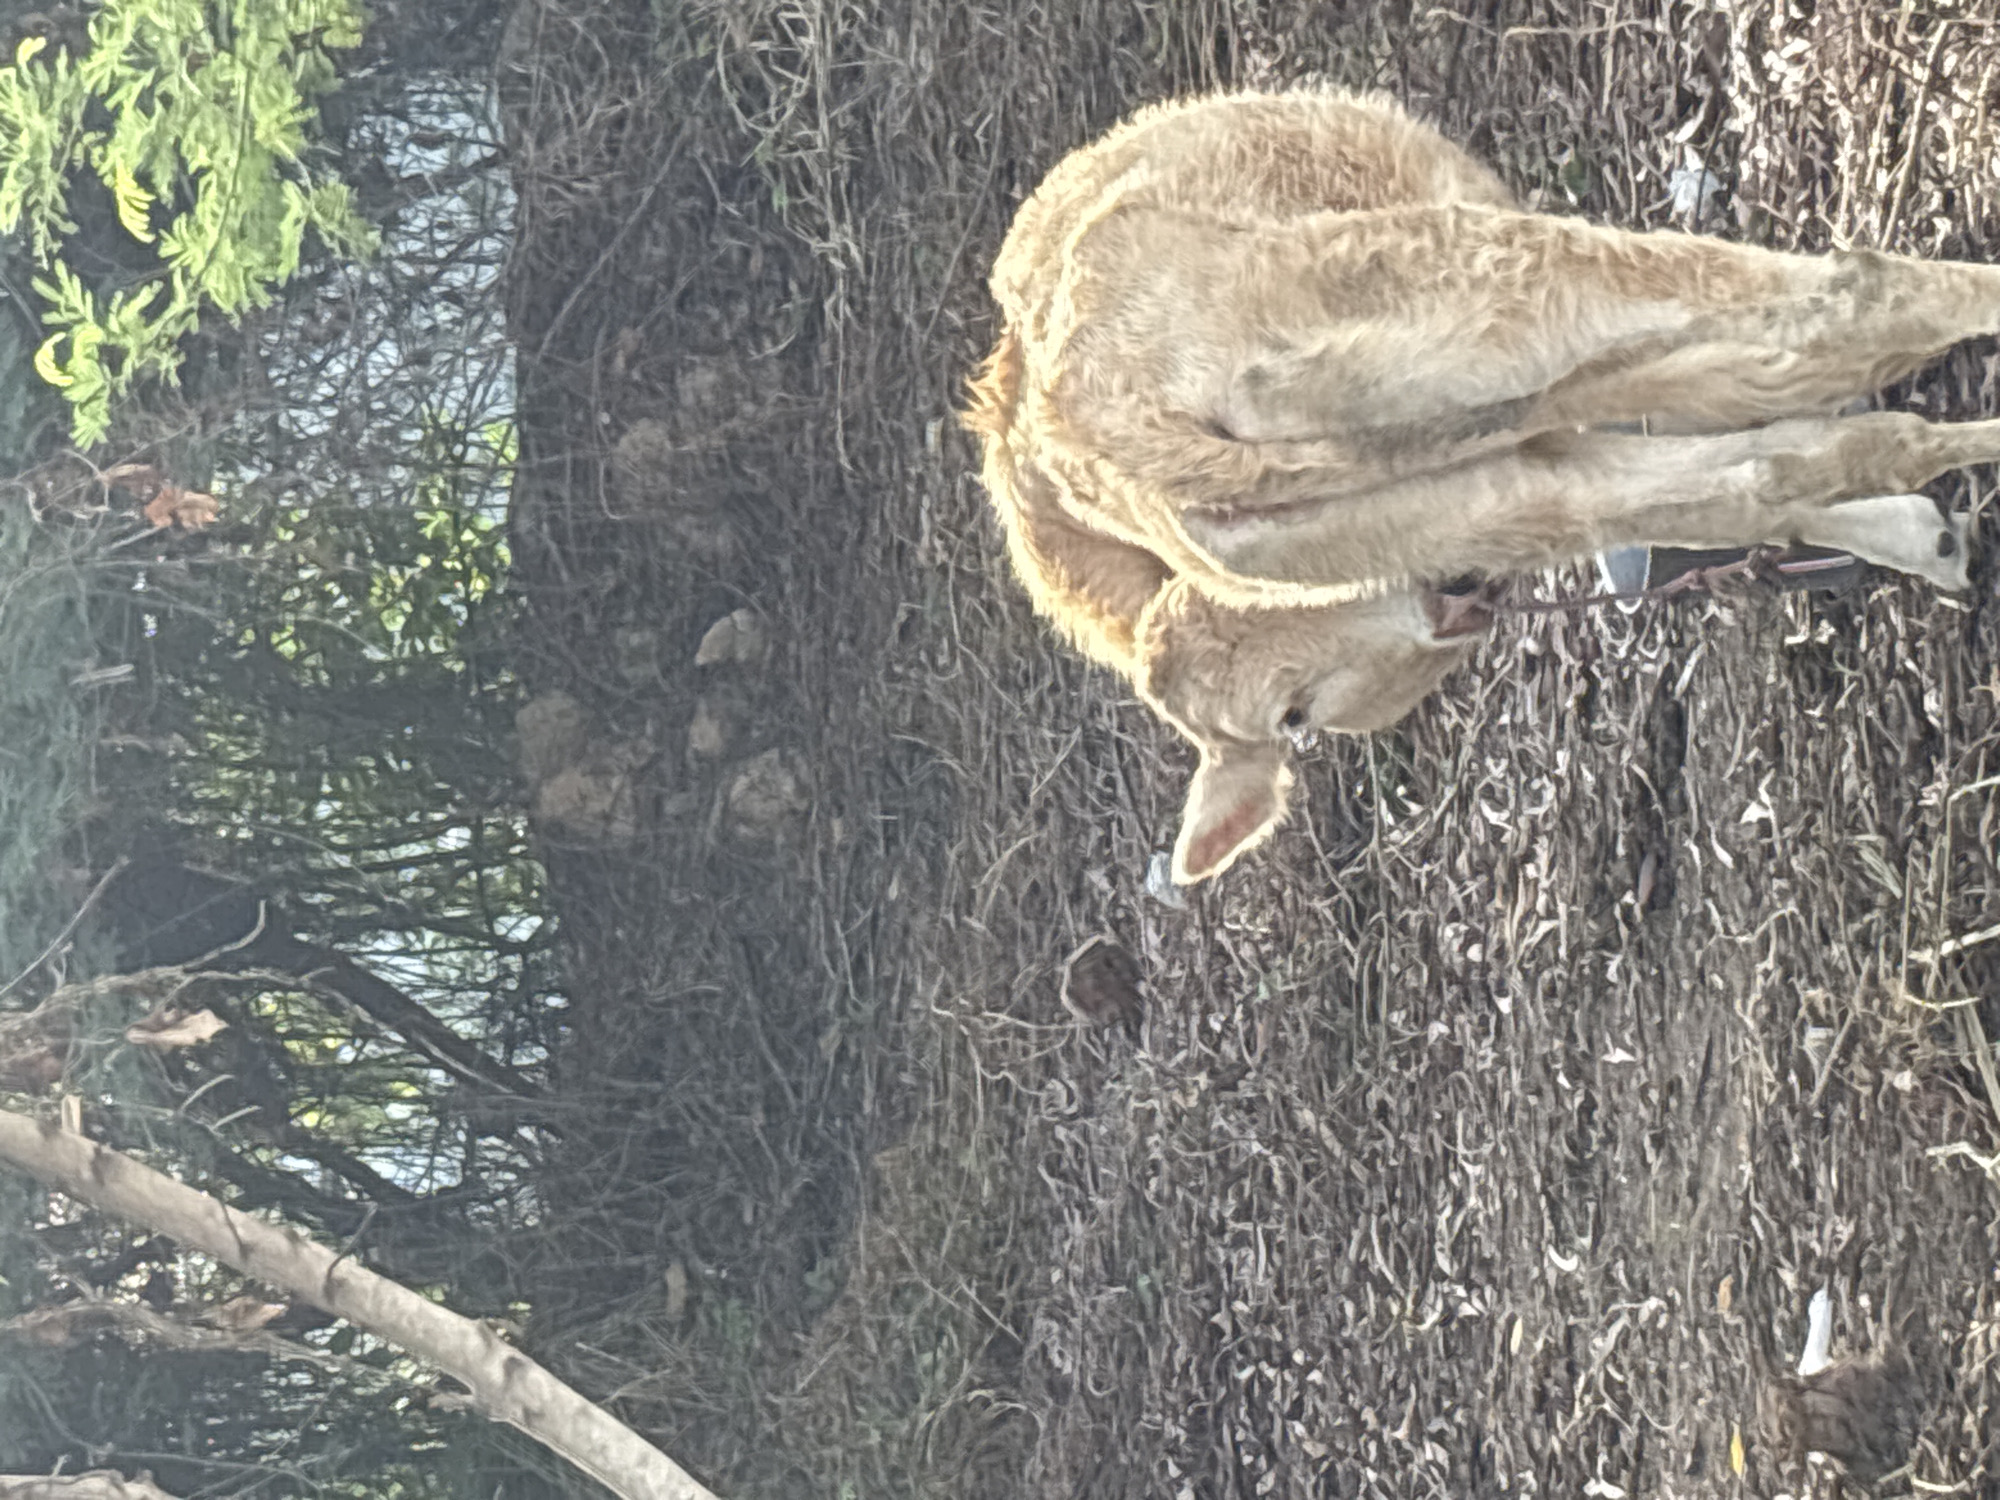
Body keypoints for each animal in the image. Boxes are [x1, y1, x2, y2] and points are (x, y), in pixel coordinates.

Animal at [964, 86, 1991, 885]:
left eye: (1295, 717)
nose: (1455, 597)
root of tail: (1118, 424)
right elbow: (1751, 418)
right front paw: (1918, 529)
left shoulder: (1518, 471)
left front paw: (1915, 536)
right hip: (1497, 284)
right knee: (1842, 300)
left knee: (1762, 446)